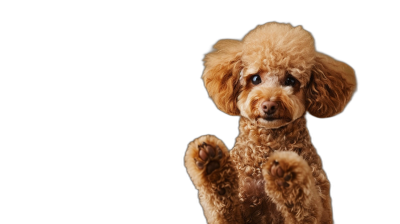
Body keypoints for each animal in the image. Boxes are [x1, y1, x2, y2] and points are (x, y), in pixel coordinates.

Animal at [184, 21, 356, 224]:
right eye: (255, 78)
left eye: (290, 80)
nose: (269, 105)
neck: (269, 144)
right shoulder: (235, 213)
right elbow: (222, 206)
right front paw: (212, 164)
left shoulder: (321, 212)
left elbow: (306, 206)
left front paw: (287, 178)